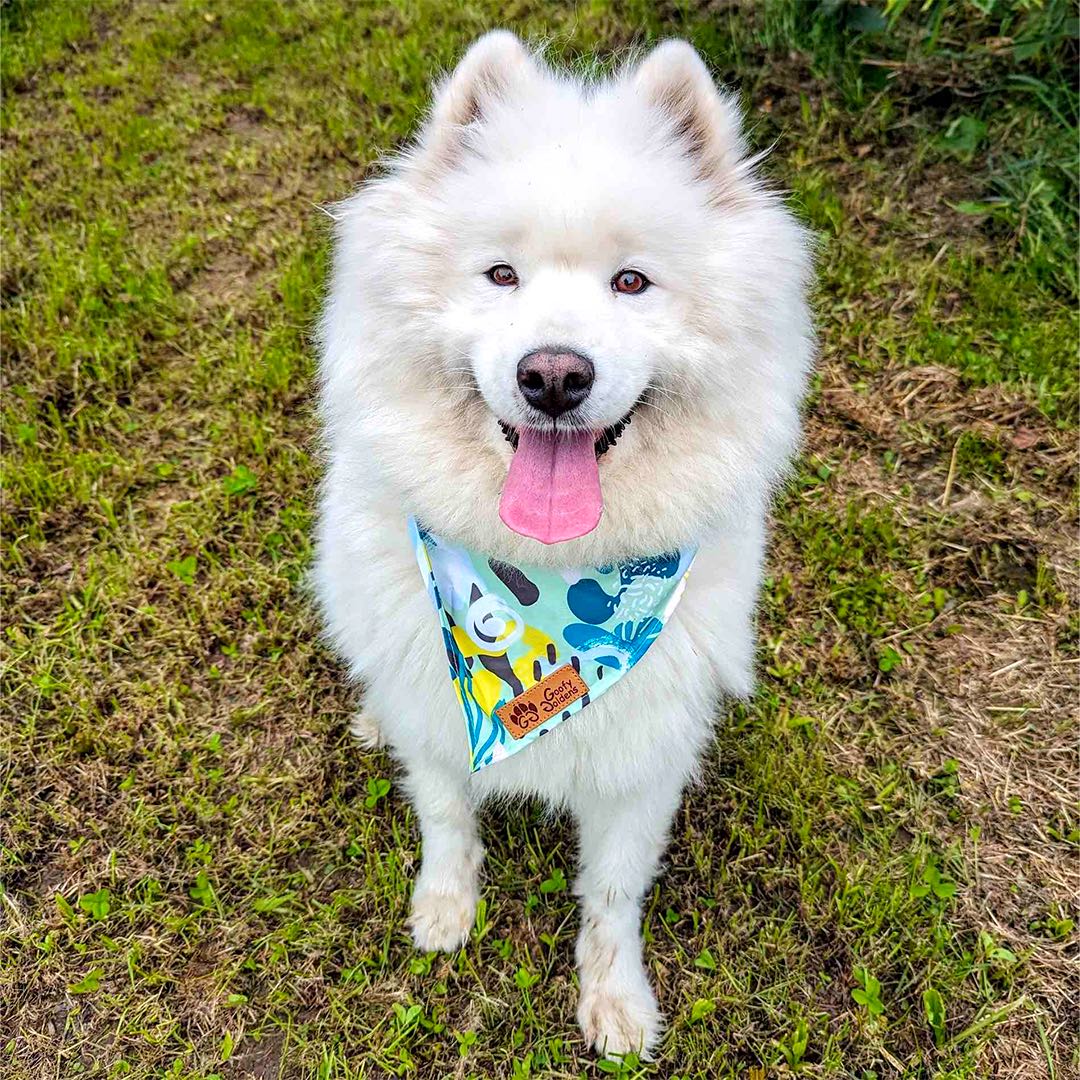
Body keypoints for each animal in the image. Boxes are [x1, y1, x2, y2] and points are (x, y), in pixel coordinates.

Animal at [313, 31, 812, 1054]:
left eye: (632, 282)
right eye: (501, 275)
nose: (552, 375)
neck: (542, 586)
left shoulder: (643, 761)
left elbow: (613, 893)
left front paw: (615, 1000)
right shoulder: (438, 716)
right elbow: (445, 815)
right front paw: (444, 907)